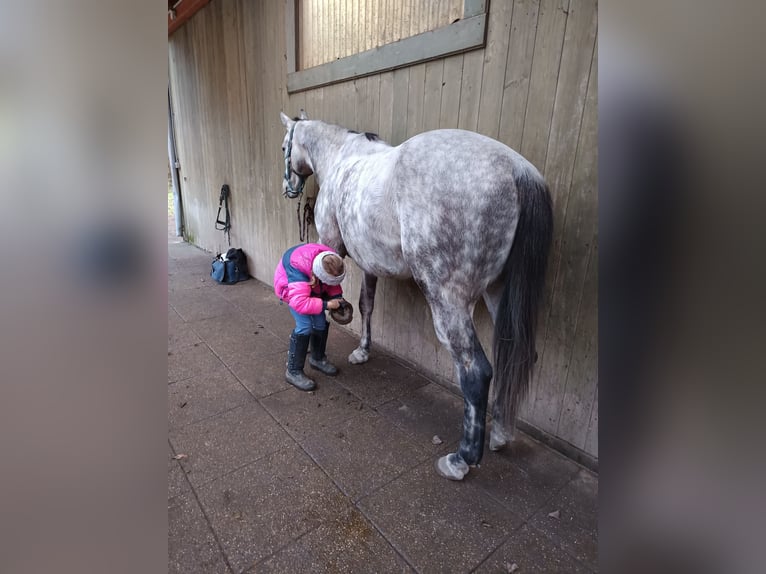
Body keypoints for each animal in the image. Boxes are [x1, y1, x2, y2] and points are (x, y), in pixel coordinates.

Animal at [280, 110, 552, 484]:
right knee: (518, 356)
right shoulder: (370, 262)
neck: (342, 158)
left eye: (284, 147)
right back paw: (500, 433)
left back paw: (461, 459)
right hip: (499, 295)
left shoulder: (331, 246)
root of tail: (516, 171)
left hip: (447, 300)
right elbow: (366, 305)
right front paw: (362, 351)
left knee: (477, 371)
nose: (288, 188)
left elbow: (325, 300)